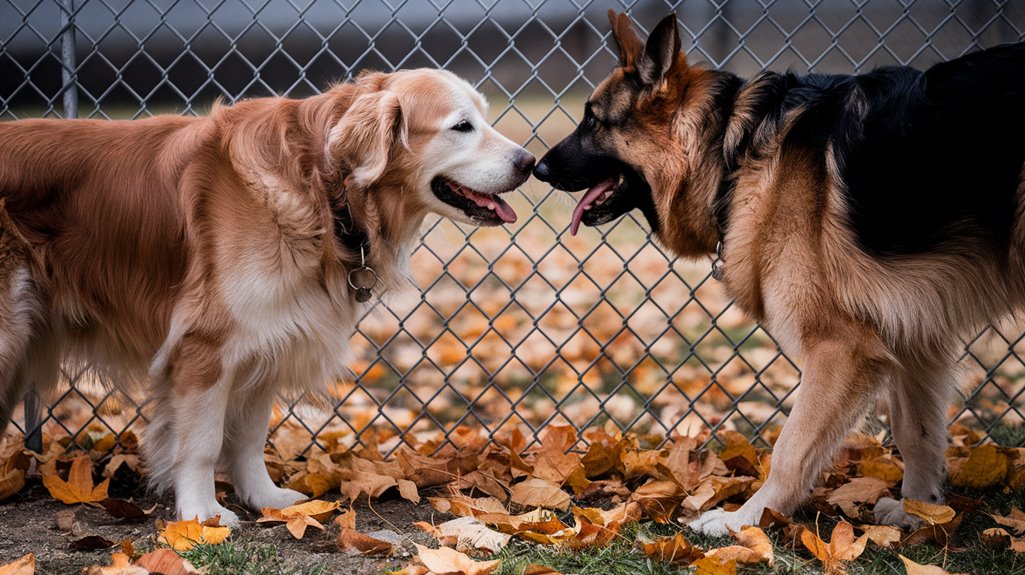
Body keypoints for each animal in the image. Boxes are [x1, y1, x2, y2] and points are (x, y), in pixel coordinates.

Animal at [4, 69, 537, 522]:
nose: (531, 162)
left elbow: (249, 437)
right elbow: (201, 442)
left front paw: (265, 499)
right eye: (462, 126)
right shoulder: (206, 346)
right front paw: (202, 514)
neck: (324, 185)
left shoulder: (270, 335)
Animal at [533, 10, 1025, 532]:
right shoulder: (916, 336)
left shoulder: (839, 347)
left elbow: (790, 449)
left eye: (592, 120)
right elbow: (918, 432)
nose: (536, 168)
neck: (731, 153)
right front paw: (920, 512)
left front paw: (745, 521)